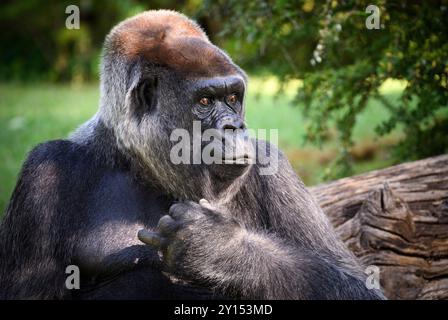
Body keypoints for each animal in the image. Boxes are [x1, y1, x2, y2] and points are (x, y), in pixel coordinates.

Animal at [0, 10, 384, 300]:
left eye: (233, 97)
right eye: (205, 101)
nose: (234, 127)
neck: (138, 165)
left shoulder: (273, 164)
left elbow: (358, 285)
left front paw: (219, 249)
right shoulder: (44, 171)